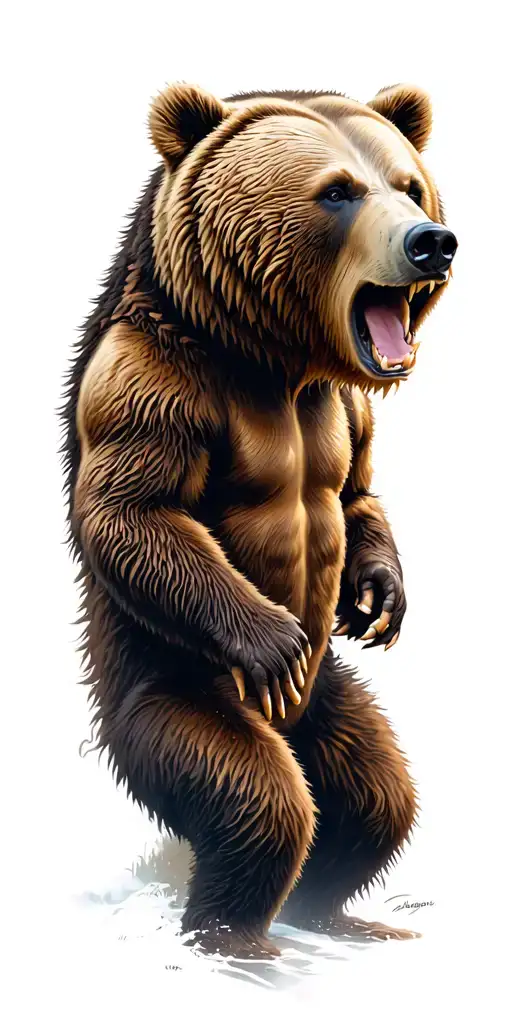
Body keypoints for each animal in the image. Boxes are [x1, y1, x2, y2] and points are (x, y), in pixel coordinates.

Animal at [60, 82, 457, 959]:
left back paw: (340, 916)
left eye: (409, 186)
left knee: (376, 798)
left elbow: (354, 492)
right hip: (174, 689)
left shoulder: (340, 406)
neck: (272, 364)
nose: (432, 244)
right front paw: (273, 638)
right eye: (339, 191)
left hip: (330, 702)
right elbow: (137, 512)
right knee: (257, 800)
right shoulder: (151, 382)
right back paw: (235, 939)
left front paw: (380, 596)